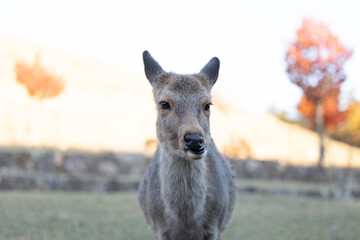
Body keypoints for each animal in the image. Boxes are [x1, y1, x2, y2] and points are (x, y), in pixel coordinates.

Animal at [138, 51, 236, 240]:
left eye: (208, 104)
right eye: (164, 103)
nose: (195, 140)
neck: (186, 224)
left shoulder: (215, 226)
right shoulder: (160, 229)